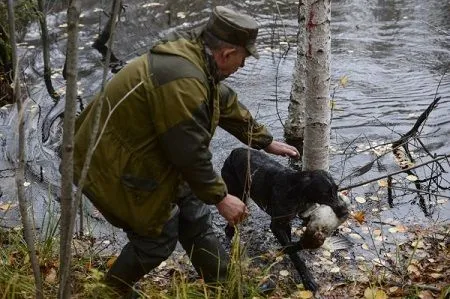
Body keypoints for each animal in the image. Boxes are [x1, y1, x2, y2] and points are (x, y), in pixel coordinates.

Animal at [220, 148, 350, 292]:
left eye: (336, 189)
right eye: (325, 193)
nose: (345, 211)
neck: (296, 190)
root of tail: (234, 151)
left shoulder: (286, 222)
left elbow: (290, 246)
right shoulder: (276, 226)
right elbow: (293, 252)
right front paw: (307, 279)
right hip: (237, 196)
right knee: (229, 227)